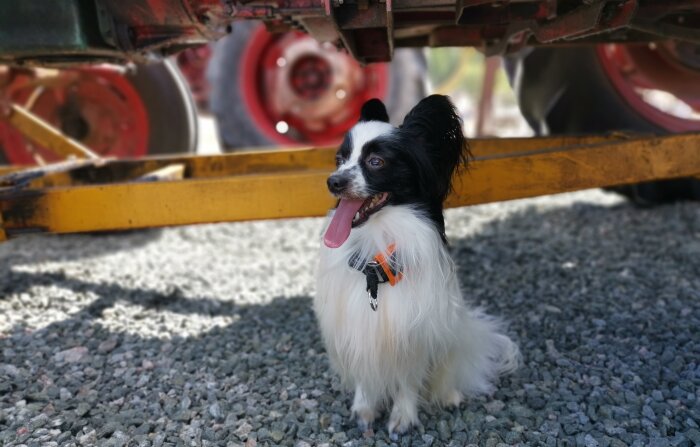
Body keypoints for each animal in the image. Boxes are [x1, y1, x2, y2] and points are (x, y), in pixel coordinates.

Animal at [314, 95, 516, 438]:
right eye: (340, 159)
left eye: (376, 162)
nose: (332, 181)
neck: (375, 259)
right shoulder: (357, 331)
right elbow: (365, 378)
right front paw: (364, 411)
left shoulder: (413, 335)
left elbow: (407, 382)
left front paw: (402, 418)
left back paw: (449, 395)